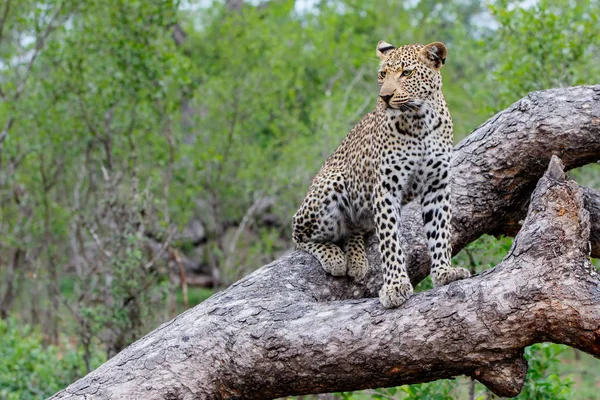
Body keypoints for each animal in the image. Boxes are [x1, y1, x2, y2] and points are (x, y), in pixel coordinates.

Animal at [292, 40, 472, 308]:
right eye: (382, 74)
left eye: (406, 73)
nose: (385, 97)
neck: (420, 120)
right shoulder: (386, 189)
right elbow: (390, 242)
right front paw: (395, 286)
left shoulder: (437, 185)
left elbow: (440, 231)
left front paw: (444, 272)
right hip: (331, 184)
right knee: (298, 233)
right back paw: (334, 257)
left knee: (352, 230)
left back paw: (356, 259)